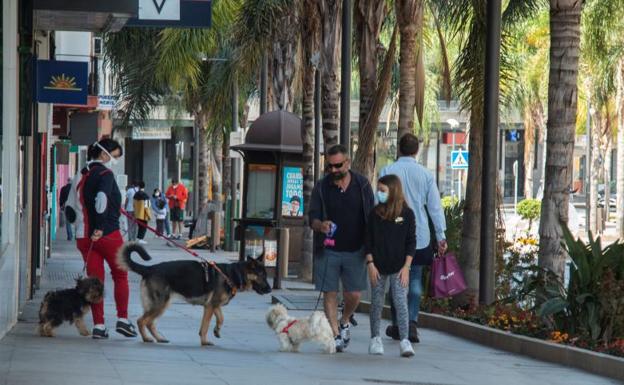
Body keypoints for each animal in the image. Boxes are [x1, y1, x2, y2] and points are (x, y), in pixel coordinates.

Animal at [118, 243, 272, 344]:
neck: (232, 274)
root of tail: (149, 268)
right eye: (262, 275)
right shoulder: (210, 307)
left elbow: (221, 318)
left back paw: (159, 338)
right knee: (142, 321)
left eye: (266, 275)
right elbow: (205, 326)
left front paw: (217, 330)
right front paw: (204, 341)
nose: (270, 290)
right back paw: (147, 339)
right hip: (160, 304)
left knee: (149, 322)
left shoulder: (213, 305)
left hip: (161, 305)